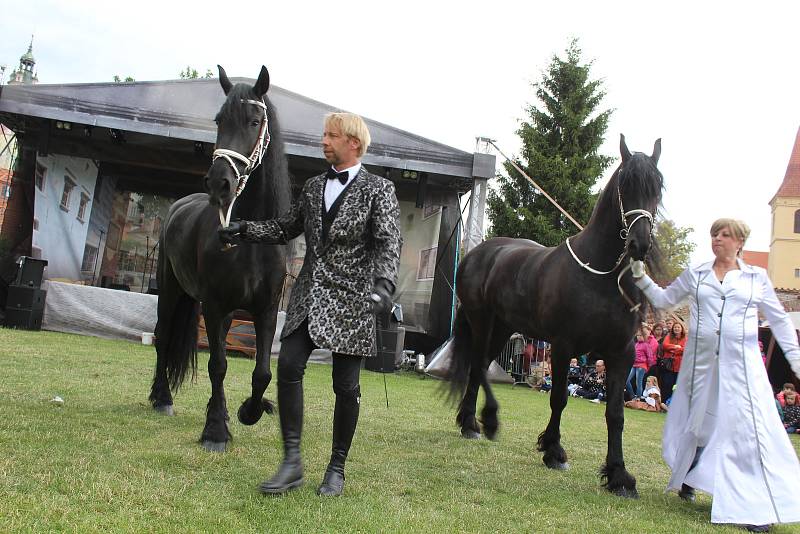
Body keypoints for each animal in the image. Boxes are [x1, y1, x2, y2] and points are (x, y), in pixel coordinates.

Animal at [148, 66, 292, 452]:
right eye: (219, 120)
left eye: (255, 121)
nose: (219, 183)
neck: (251, 240)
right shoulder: (213, 306)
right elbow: (218, 366)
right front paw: (215, 430)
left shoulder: (265, 311)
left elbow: (262, 372)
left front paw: (249, 411)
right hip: (171, 293)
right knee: (162, 337)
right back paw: (162, 398)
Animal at [450, 135, 664, 498]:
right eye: (626, 184)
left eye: (658, 187)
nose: (640, 245)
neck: (602, 276)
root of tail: (478, 252)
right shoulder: (564, 347)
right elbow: (559, 399)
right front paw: (553, 450)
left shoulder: (621, 353)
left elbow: (616, 414)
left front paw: (619, 475)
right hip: (483, 322)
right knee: (478, 365)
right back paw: (484, 422)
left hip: (504, 329)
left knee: (480, 367)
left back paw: (472, 423)